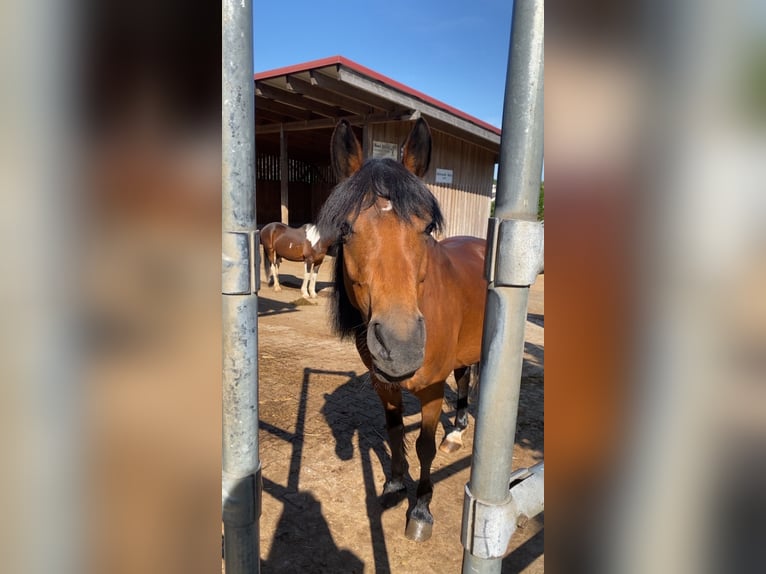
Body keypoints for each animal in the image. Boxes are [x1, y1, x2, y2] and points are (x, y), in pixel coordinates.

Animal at [317, 118, 487, 542]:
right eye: (346, 228)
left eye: (426, 227)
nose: (400, 346)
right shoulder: (386, 386)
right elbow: (394, 433)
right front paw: (395, 484)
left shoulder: (431, 390)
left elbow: (424, 447)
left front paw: (421, 509)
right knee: (464, 379)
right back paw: (456, 431)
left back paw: (456, 433)